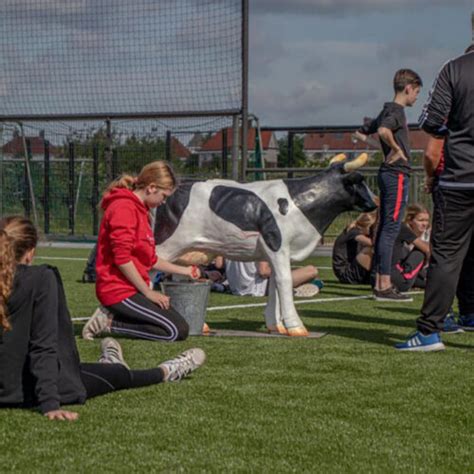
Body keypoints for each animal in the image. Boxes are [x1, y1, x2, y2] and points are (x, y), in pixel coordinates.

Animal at [156, 154, 378, 336]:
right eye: (358, 181)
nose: (375, 203)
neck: (300, 203)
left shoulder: (279, 254)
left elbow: (275, 285)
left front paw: (276, 325)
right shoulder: (276, 245)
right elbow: (285, 281)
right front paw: (296, 326)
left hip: (187, 250)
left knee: (180, 277)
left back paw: (200, 325)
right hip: (167, 244)